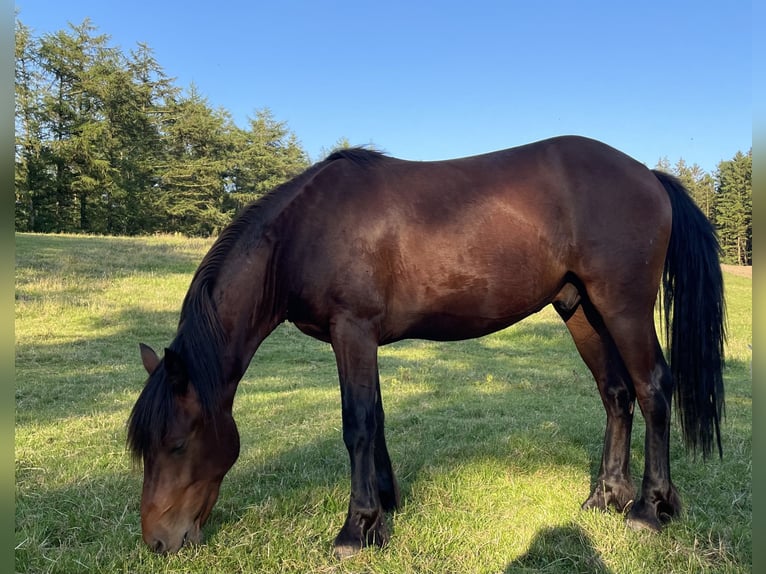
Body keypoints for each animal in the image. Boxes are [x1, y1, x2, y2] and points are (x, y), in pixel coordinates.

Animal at [126, 135, 728, 560]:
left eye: (176, 444)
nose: (158, 541)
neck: (303, 232)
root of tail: (648, 175)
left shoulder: (352, 331)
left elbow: (357, 424)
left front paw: (355, 529)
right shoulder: (361, 339)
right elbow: (376, 419)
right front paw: (383, 509)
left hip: (623, 308)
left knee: (652, 389)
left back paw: (648, 509)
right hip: (582, 309)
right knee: (616, 393)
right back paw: (605, 497)